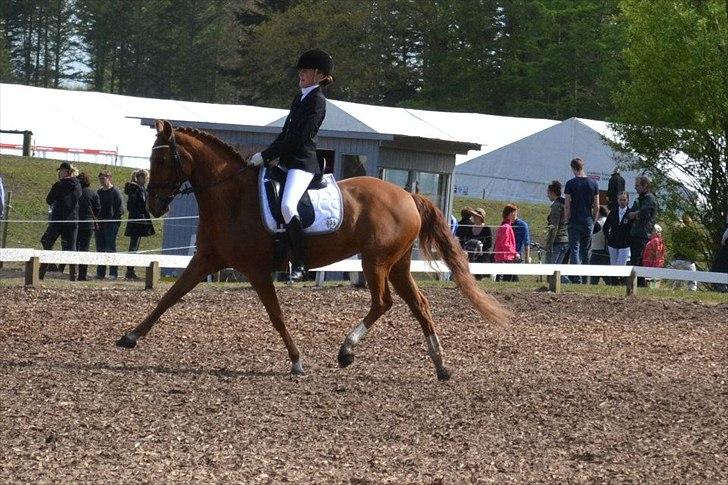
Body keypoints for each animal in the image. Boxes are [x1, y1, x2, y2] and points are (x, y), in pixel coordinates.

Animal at [116, 120, 509, 380]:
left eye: (161, 160)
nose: (153, 205)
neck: (231, 196)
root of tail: (408, 194)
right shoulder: (206, 259)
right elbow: (169, 297)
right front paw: (130, 336)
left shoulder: (256, 270)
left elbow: (276, 315)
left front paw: (296, 361)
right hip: (396, 264)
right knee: (420, 305)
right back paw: (441, 366)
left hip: (376, 262)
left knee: (383, 303)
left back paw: (347, 351)